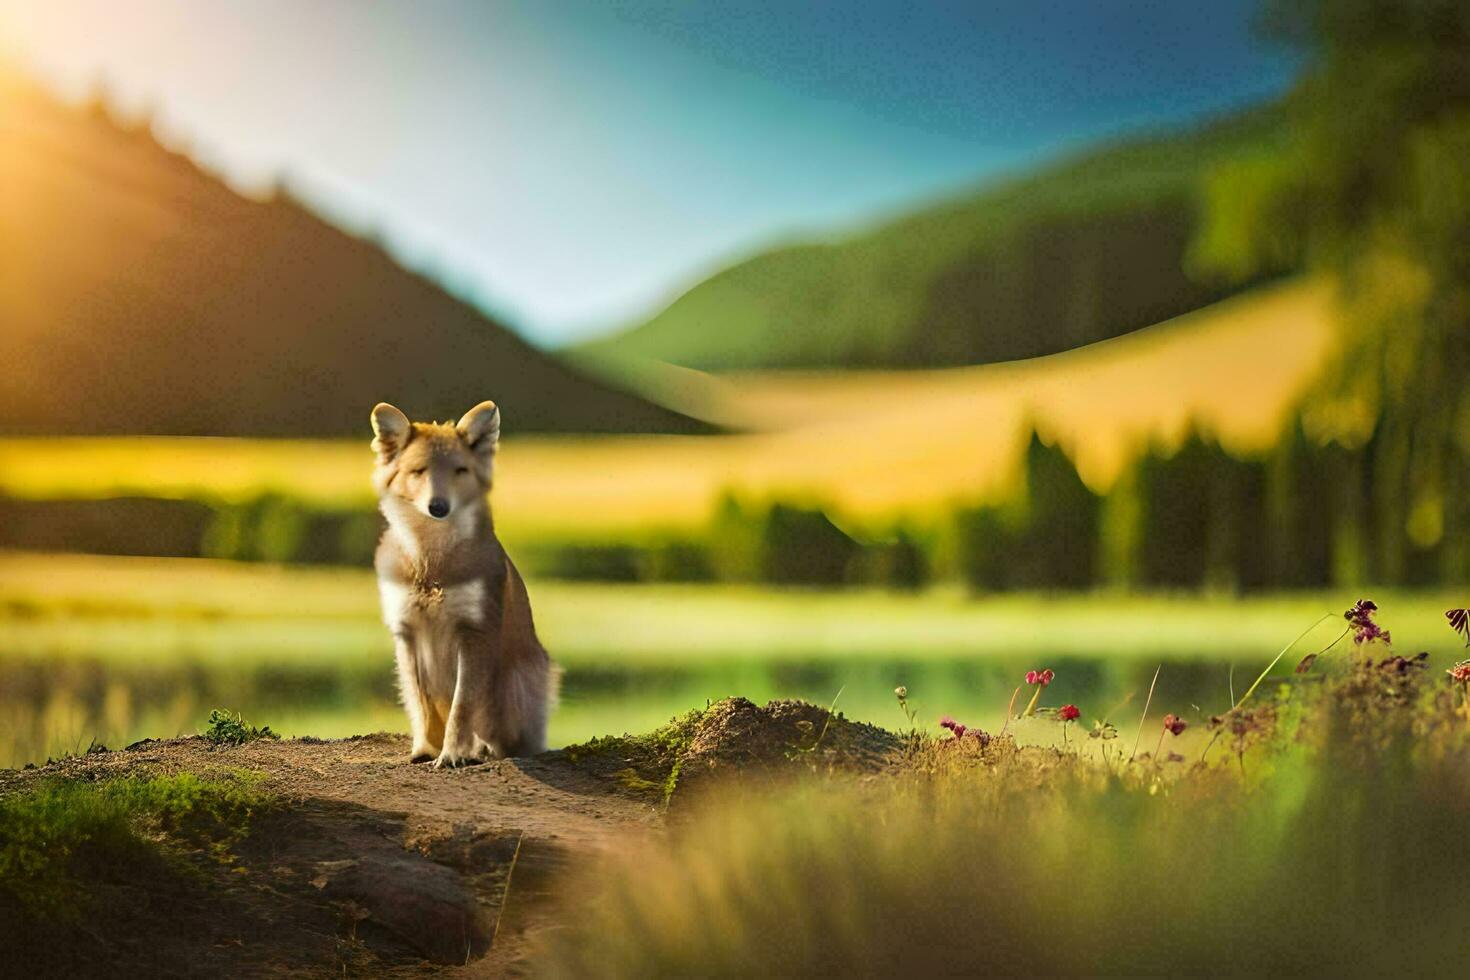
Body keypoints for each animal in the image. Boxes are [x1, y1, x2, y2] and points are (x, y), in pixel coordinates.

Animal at [370, 399, 552, 764]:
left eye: (459, 470)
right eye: (418, 471)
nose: (438, 506)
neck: (431, 564)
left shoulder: (474, 632)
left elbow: (462, 706)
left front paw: (453, 754)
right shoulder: (407, 635)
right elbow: (423, 705)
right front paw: (425, 749)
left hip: (521, 678)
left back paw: (484, 749)